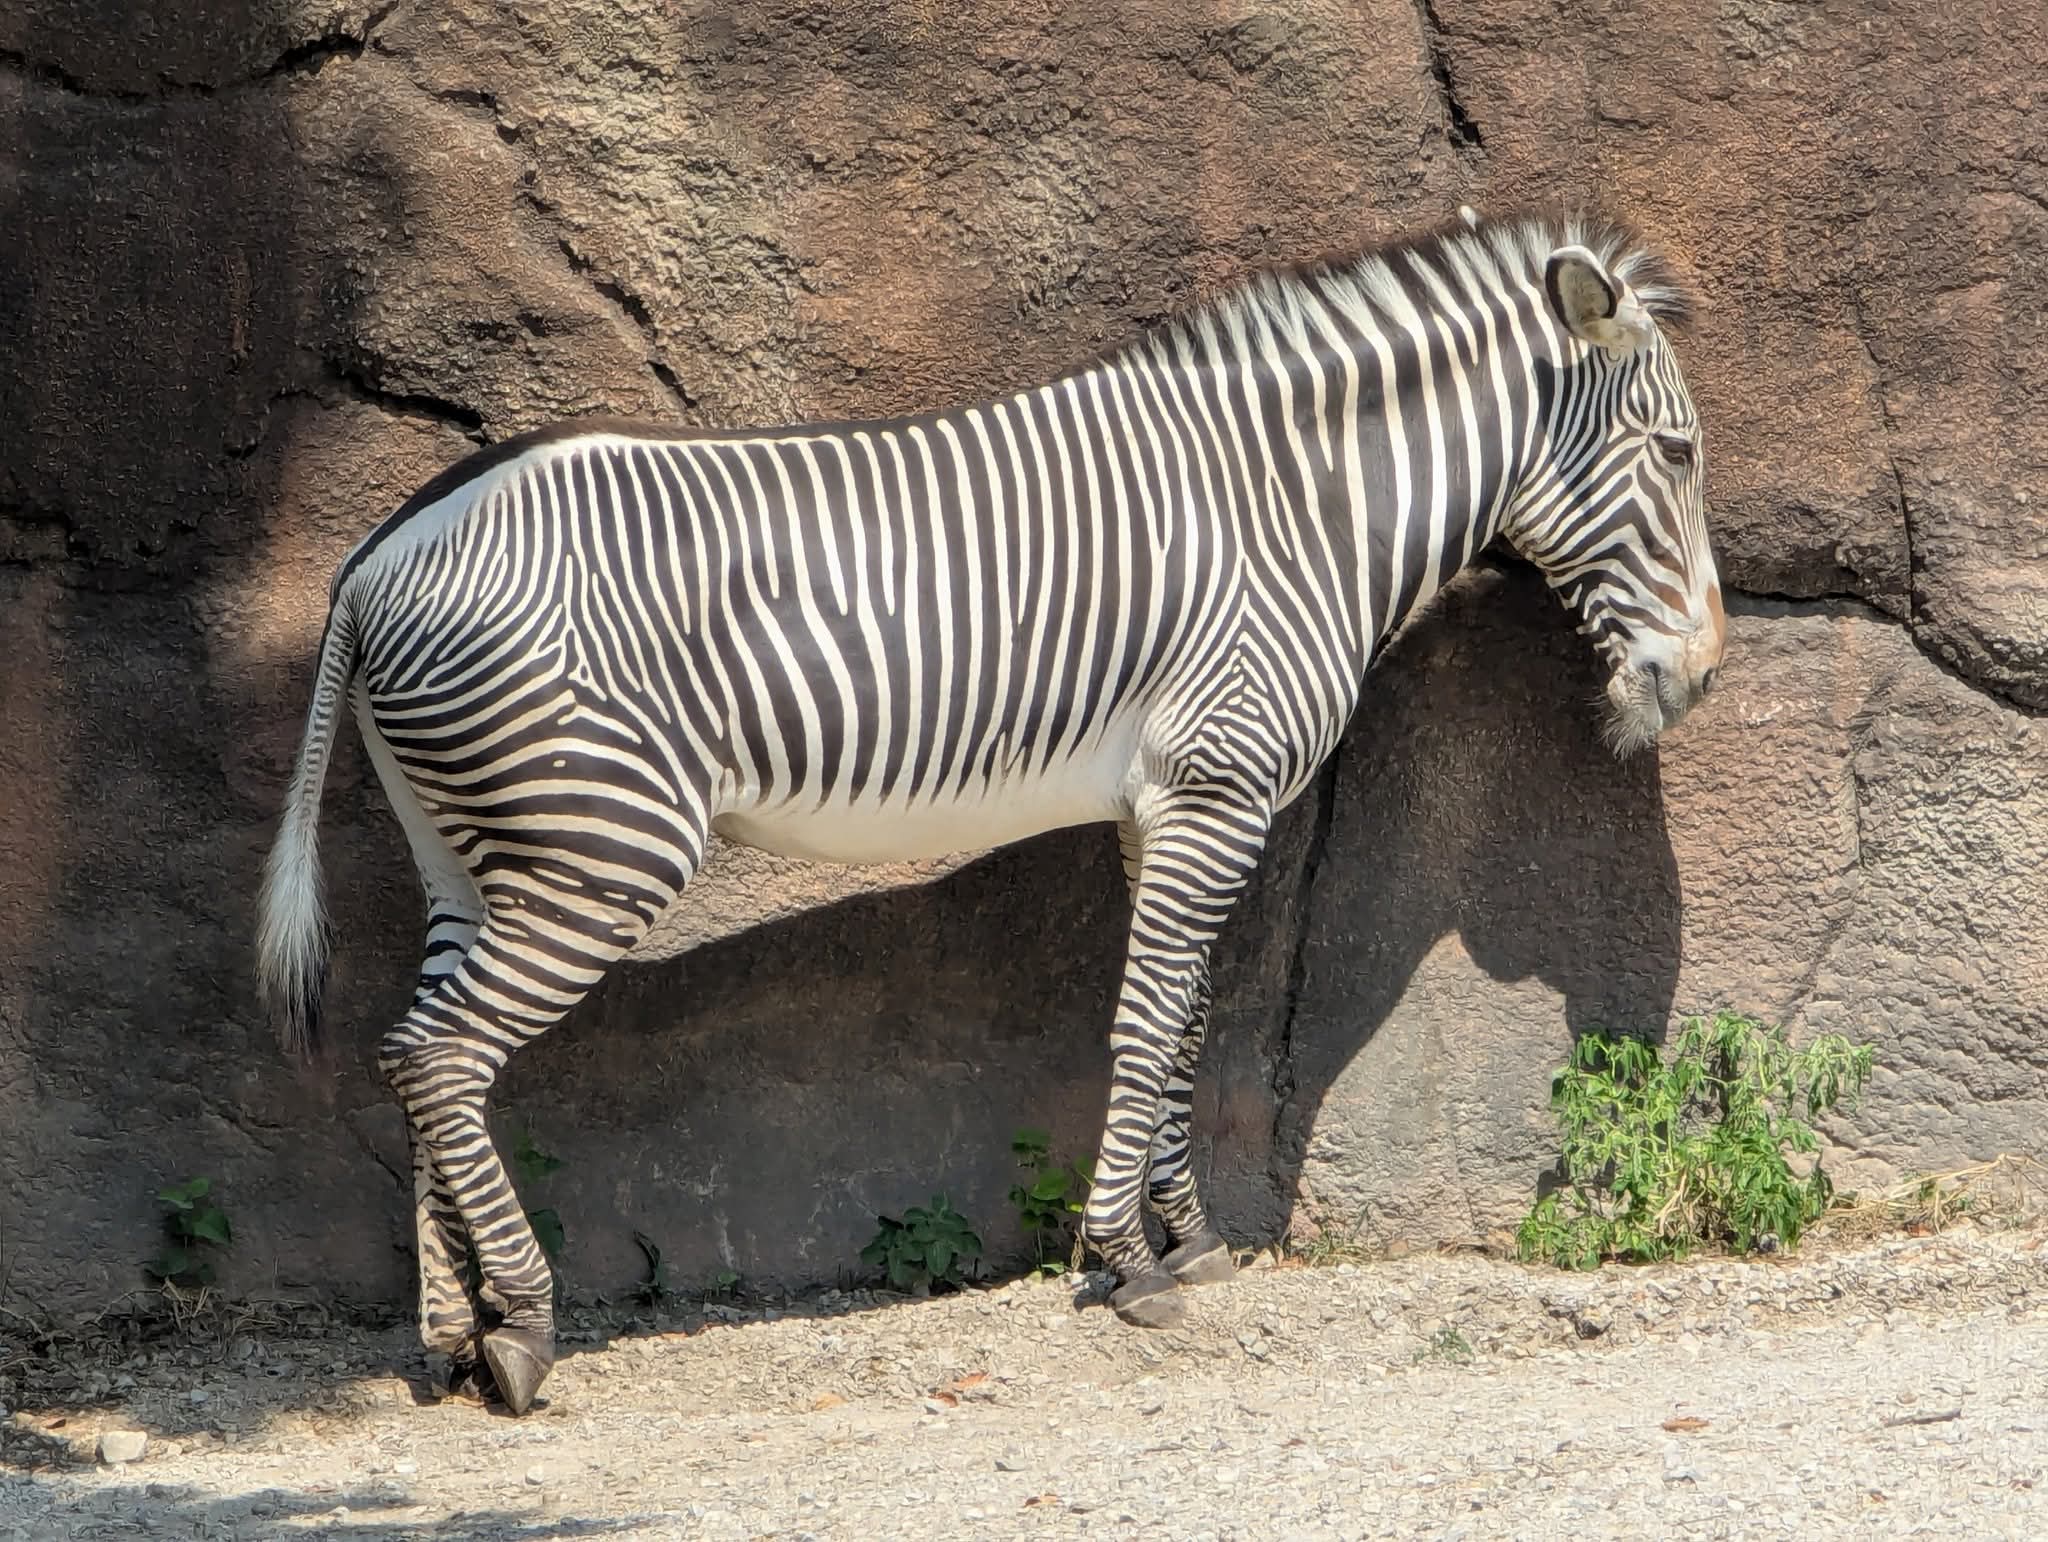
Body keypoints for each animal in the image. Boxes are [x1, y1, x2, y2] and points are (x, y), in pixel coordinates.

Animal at [258, 207, 1724, 1414]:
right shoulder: (1216, 786)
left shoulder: (1162, 805)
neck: (1297, 512)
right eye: (1677, 453)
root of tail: (378, 556)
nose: (1700, 676)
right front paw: (1125, 1261)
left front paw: (1188, 1241)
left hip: (471, 851)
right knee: (442, 1055)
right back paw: (524, 1333)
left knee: (409, 1049)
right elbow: (1147, 1022)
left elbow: (1183, 1022)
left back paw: (453, 1336)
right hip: (600, 841)